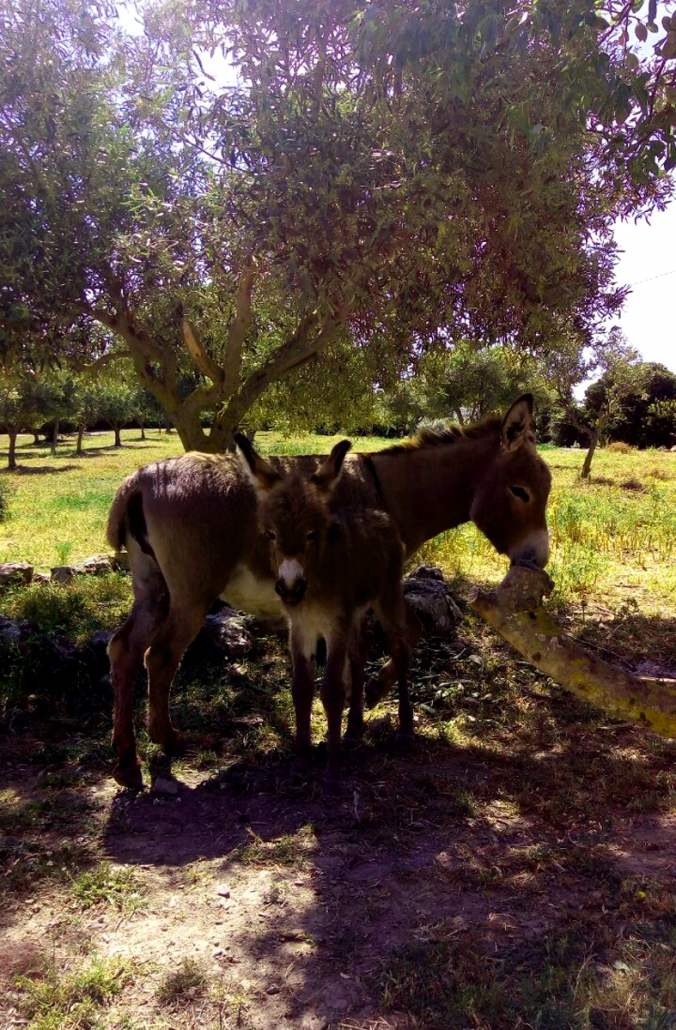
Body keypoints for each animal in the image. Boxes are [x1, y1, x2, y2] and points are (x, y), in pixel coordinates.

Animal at [234, 434, 412, 778]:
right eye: (271, 534)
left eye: (311, 534)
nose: (290, 588)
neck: (315, 584)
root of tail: (379, 514)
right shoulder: (301, 627)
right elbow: (301, 689)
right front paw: (303, 756)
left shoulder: (334, 625)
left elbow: (331, 691)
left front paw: (331, 761)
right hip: (356, 611)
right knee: (360, 653)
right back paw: (353, 730)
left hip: (387, 595)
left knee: (399, 648)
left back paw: (405, 729)